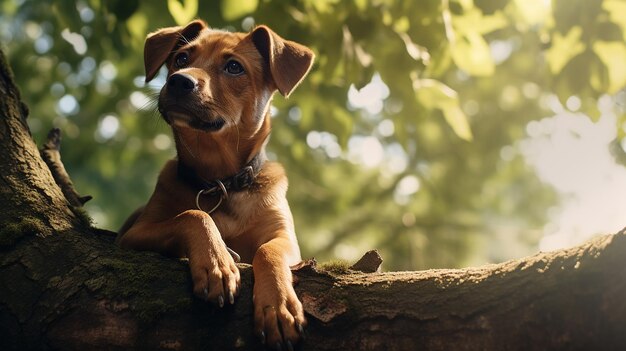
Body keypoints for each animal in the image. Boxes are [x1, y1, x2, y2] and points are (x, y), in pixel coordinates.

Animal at [116, 20, 312, 350]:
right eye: (181, 58)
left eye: (234, 67)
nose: (179, 81)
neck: (220, 183)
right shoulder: (134, 235)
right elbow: (193, 215)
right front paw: (216, 261)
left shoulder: (285, 239)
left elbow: (268, 251)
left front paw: (278, 305)